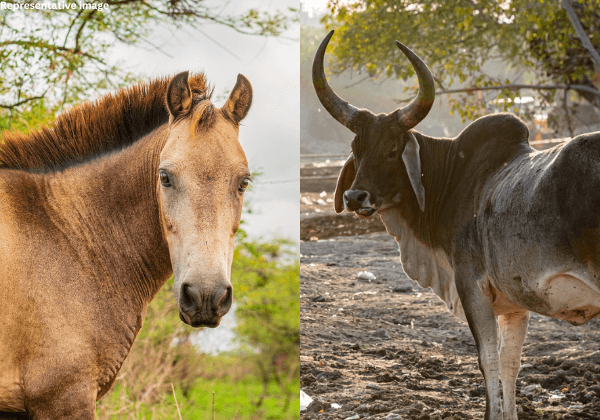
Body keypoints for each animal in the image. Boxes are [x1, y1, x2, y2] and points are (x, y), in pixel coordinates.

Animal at [314, 30, 600, 420]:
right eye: (357, 148)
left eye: (392, 149)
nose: (356, 197)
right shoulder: (515, 302)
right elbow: (510, 364)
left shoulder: (471, 285)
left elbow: (488, 361)